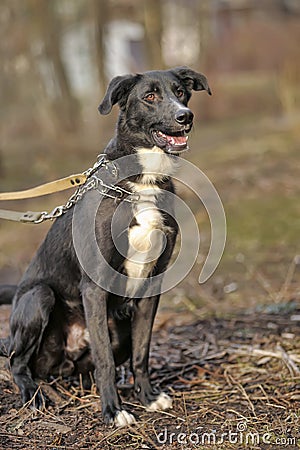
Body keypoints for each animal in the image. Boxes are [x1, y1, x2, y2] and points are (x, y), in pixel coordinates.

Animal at [0, 66, 211, 426]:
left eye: (181, 92)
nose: (185, 116)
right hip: (38, 298)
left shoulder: (151, 287)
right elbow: (105, 360)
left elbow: (142, 352)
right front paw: (113, 410)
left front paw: (148, 397)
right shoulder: (94, 287)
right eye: (150, 96)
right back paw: (34, 395)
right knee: (17, 362)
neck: (141, 183)